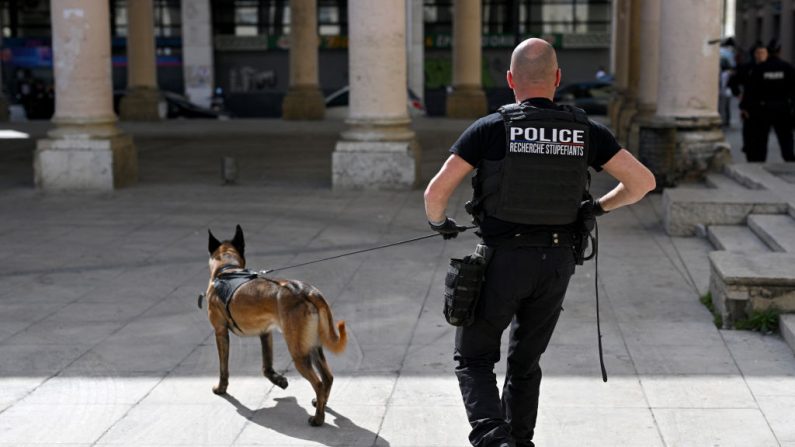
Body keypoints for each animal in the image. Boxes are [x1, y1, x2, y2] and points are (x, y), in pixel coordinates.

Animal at [204, 226, 346, 426]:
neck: (228, 269)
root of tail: (307, 291)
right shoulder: (265, 333)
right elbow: (266, 366)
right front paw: (279, 380)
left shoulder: (220, 332)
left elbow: (223, 368)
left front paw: (221, 388)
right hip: (312, 346)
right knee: (328, 377)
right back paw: (321, 403)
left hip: (298, 353)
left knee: (318, 383)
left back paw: (318, 418)